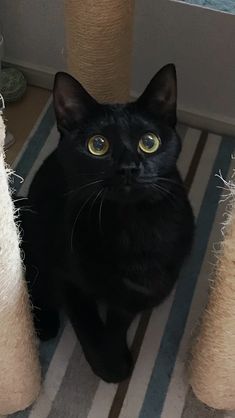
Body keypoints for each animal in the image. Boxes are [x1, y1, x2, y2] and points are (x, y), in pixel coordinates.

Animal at [18, 64, 195, 382]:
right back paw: (45, 323)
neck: (130, 225)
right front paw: (108, 368)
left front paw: (116, 358)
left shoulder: (140, 293)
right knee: (36, 272)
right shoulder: (69, 281)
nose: (128, 168)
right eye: (97, 145)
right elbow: (88, 325)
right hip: (36, 224)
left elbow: (116, 323)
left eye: (149, 142)